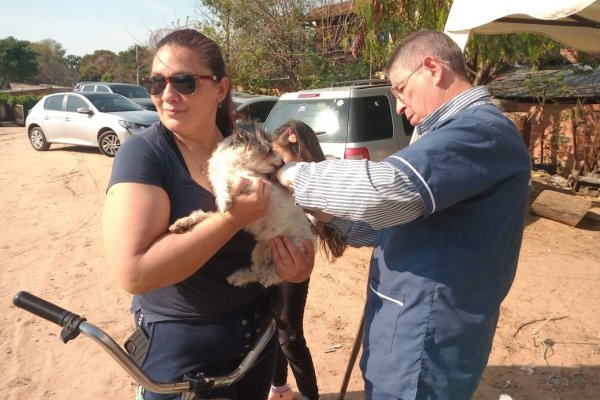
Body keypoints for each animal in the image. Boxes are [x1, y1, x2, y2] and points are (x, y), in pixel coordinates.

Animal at [166, 123, 312, 286]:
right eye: (269, 149)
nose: (283, 163)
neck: (234, 164)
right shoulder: (221, 178)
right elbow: (207, 207)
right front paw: (185, 222)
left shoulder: (252, 182)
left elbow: (231, 179)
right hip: (258, 250)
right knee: (257, 271)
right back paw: (239, 277)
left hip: (294, 248)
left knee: (270, 276)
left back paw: (263, 276)